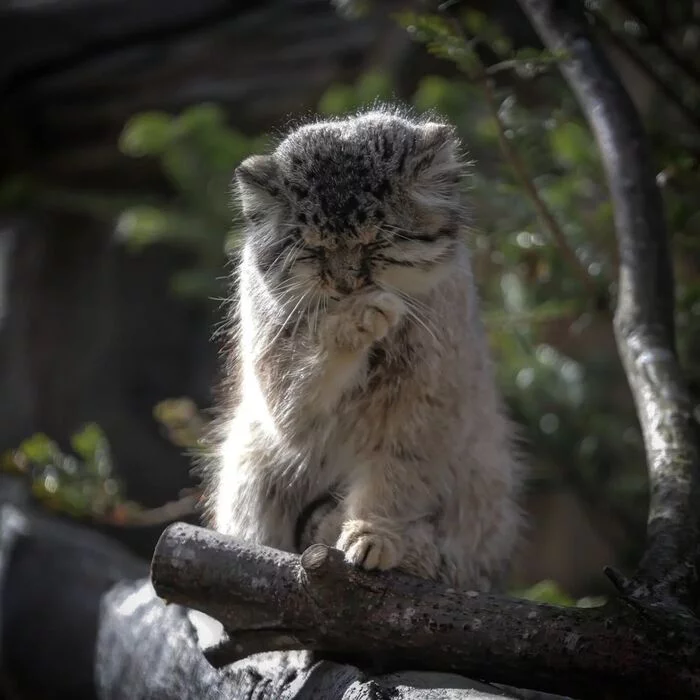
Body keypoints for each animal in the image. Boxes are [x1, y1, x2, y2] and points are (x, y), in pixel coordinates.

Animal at [205, 108, 524, 592]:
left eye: (376, 243)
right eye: (313, 249)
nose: (346, 284)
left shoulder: (423, 412)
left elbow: (391, 485)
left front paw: (373, 535)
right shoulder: (281, 393)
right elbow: (310, 368)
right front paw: (355, 318)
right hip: (250, 461)